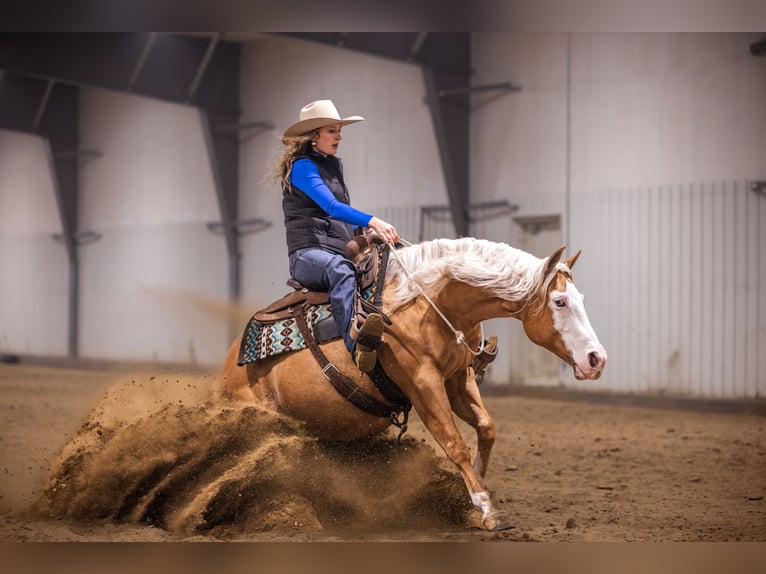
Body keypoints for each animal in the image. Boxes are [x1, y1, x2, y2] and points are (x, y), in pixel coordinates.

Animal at [217, 237, 607, 531]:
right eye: (559, 301)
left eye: (582, 299)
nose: (596, 359)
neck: (427, 304)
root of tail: (229, 364)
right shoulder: (424, 385)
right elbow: (454, 444)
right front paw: (486, 508)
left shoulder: (458, 379)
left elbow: (486, 427)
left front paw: (476, 490)